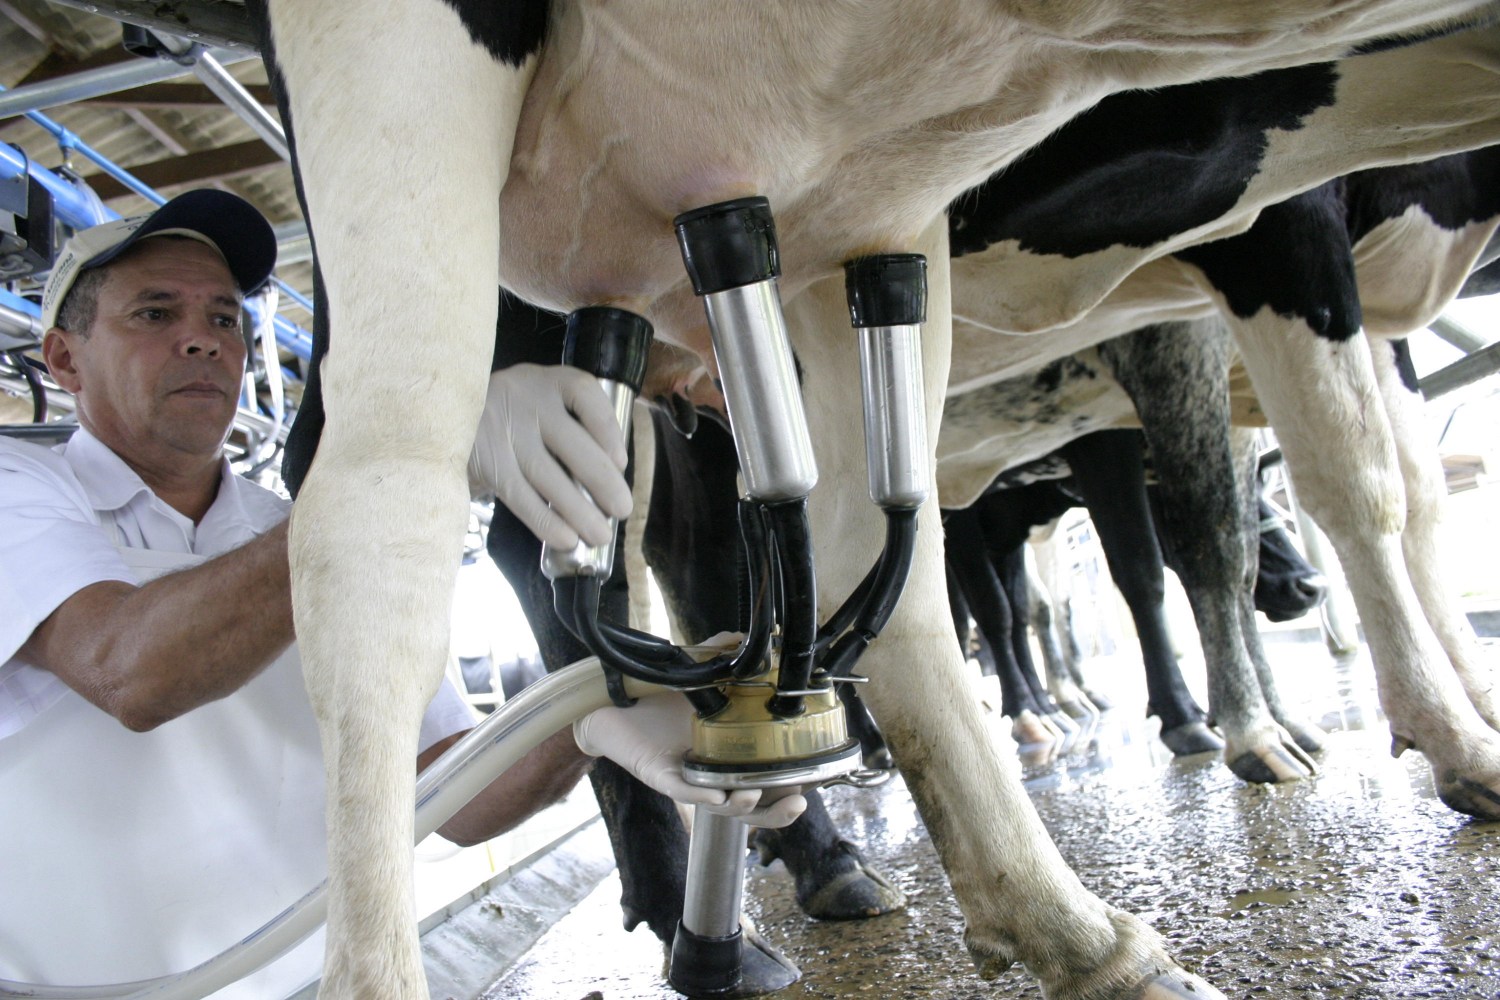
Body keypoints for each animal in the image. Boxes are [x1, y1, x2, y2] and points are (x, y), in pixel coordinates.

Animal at [255, 3, 1500, 995]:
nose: (1300, 598)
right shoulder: (1261, 249)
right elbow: (1298, 506)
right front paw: (1315, 734)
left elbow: (1401, 497)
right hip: (413, 100)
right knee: (377, 519)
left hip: (833, 227)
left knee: (806, 550)